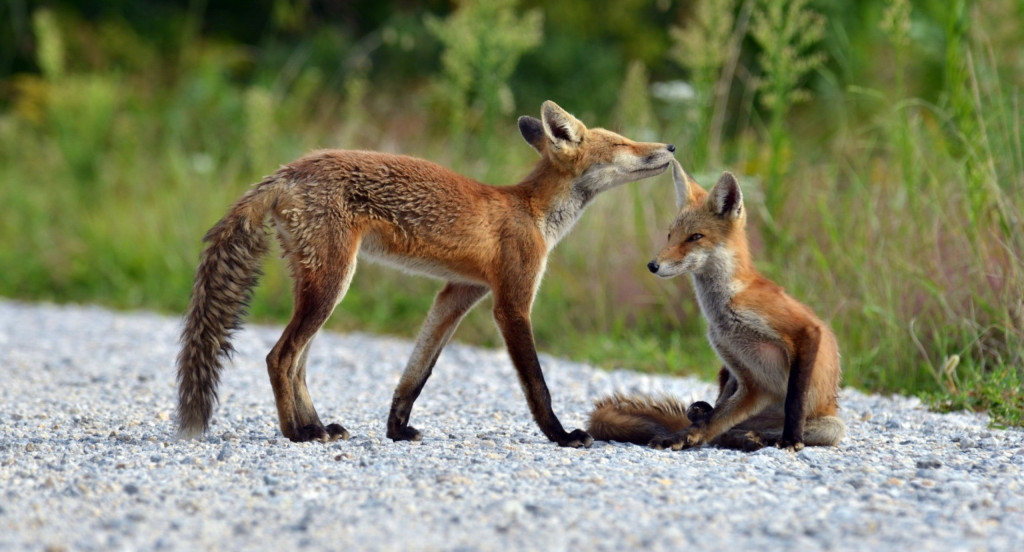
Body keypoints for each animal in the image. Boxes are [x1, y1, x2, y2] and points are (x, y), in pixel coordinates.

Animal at [177, 100, 675, 448]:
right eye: (623, 143)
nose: (670, 147)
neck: (532, 212)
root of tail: (287, 171)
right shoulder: (511, 302)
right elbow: (537, 384)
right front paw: (562, 435)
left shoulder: (458, 293)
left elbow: (416, 374)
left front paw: (397, 429)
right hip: (332, 284)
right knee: (279, 357)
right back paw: (298, 433)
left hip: (319, 285)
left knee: (297, 363)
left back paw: (315, 424)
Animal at [589, 160, 843, 452]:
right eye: (670, 235)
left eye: (695, 236)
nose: (653, 265)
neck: (725, 305)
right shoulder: (748, 378)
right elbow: (711, 420)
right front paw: (682, 436)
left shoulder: (804, 330)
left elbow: (794, 399)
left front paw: (792, 439)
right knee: (714, 426)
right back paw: (738, 436)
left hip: (830, 425)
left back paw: (759, 437)